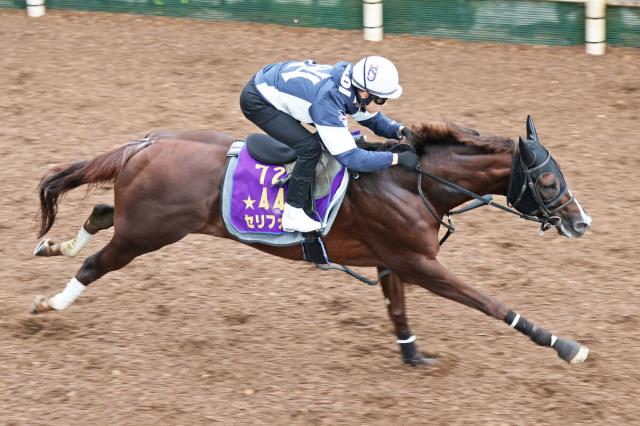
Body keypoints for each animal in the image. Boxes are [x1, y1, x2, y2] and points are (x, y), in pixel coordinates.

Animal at [28, 118, 592, 368]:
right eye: (547, 181)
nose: (580, 221)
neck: (408, 182)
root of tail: (146, 143)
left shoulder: (392, 260)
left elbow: (397, 310)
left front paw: (413, 357)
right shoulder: (419, 262)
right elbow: (489, 302)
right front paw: (564, 344)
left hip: (147, 222)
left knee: (102, 214)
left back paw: (53, 248)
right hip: (151, 231)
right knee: (97, 263)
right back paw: (50, 303)